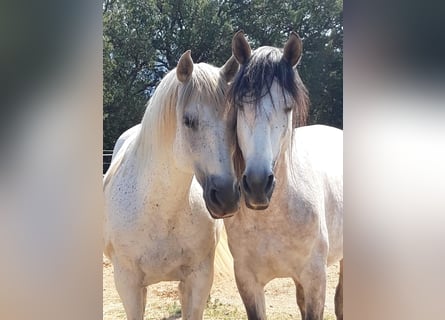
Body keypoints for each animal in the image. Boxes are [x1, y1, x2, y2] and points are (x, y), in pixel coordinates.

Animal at [103, 51, 239, 318]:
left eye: (233, 122)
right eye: (188, 120)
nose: (226, 197)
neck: (159, 209)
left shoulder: (198, 278)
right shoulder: (127, 283)